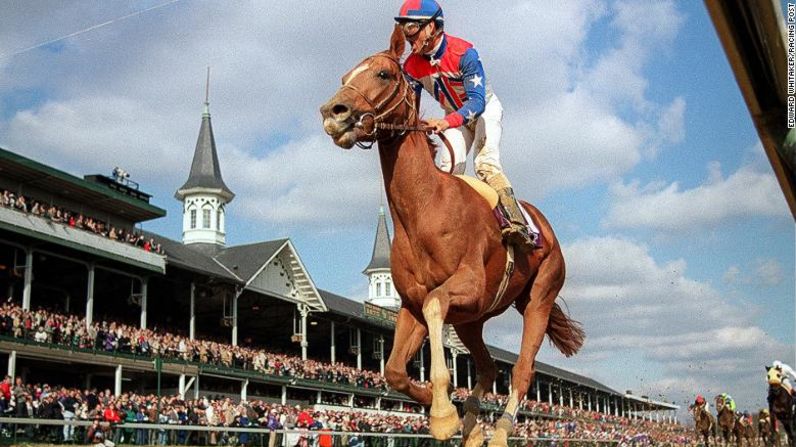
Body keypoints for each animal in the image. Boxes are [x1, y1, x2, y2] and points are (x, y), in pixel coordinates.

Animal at [320, 24, 588, 447]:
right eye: (345, 76)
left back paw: (499, 431)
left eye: (383, 73)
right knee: (488, 368)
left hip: (539, 298)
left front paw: (445, 414)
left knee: (521, 371)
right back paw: (475, 425)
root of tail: (545, 226)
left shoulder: (467, 285)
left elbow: (435, 308)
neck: (424, 210)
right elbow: (394, 371)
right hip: (471, 320)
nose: (333, 113)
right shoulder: (412, 306)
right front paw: (449, 410)